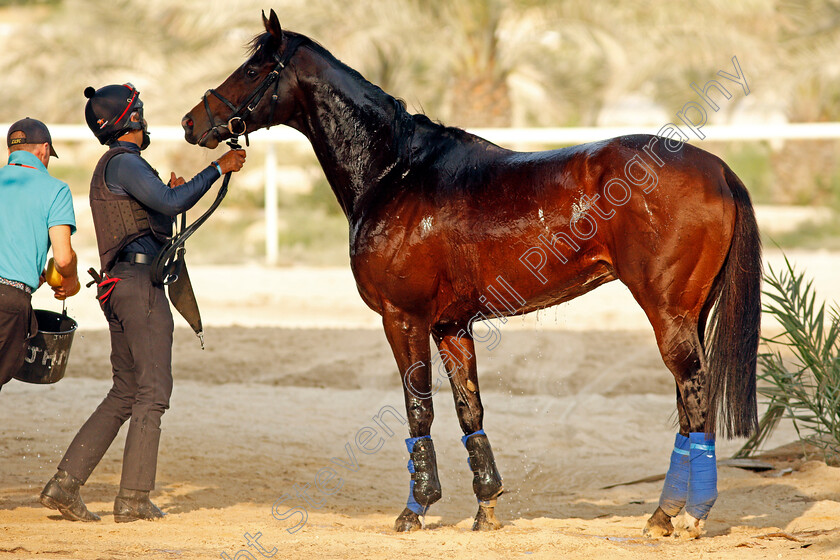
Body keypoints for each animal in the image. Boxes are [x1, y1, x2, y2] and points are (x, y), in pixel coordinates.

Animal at [184, 9, 760, 540]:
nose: (192, 122)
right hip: (689, 313)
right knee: (689, 403)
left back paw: (682, 515)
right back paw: (669, 514)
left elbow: (419, 411)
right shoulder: (451, 327)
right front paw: (486, 508)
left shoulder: (404, 319)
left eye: (254, 68)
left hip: (667, 313)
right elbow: (470, 411)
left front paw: (415, 510)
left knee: (694, 397)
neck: (396, 172)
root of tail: (718, 169)